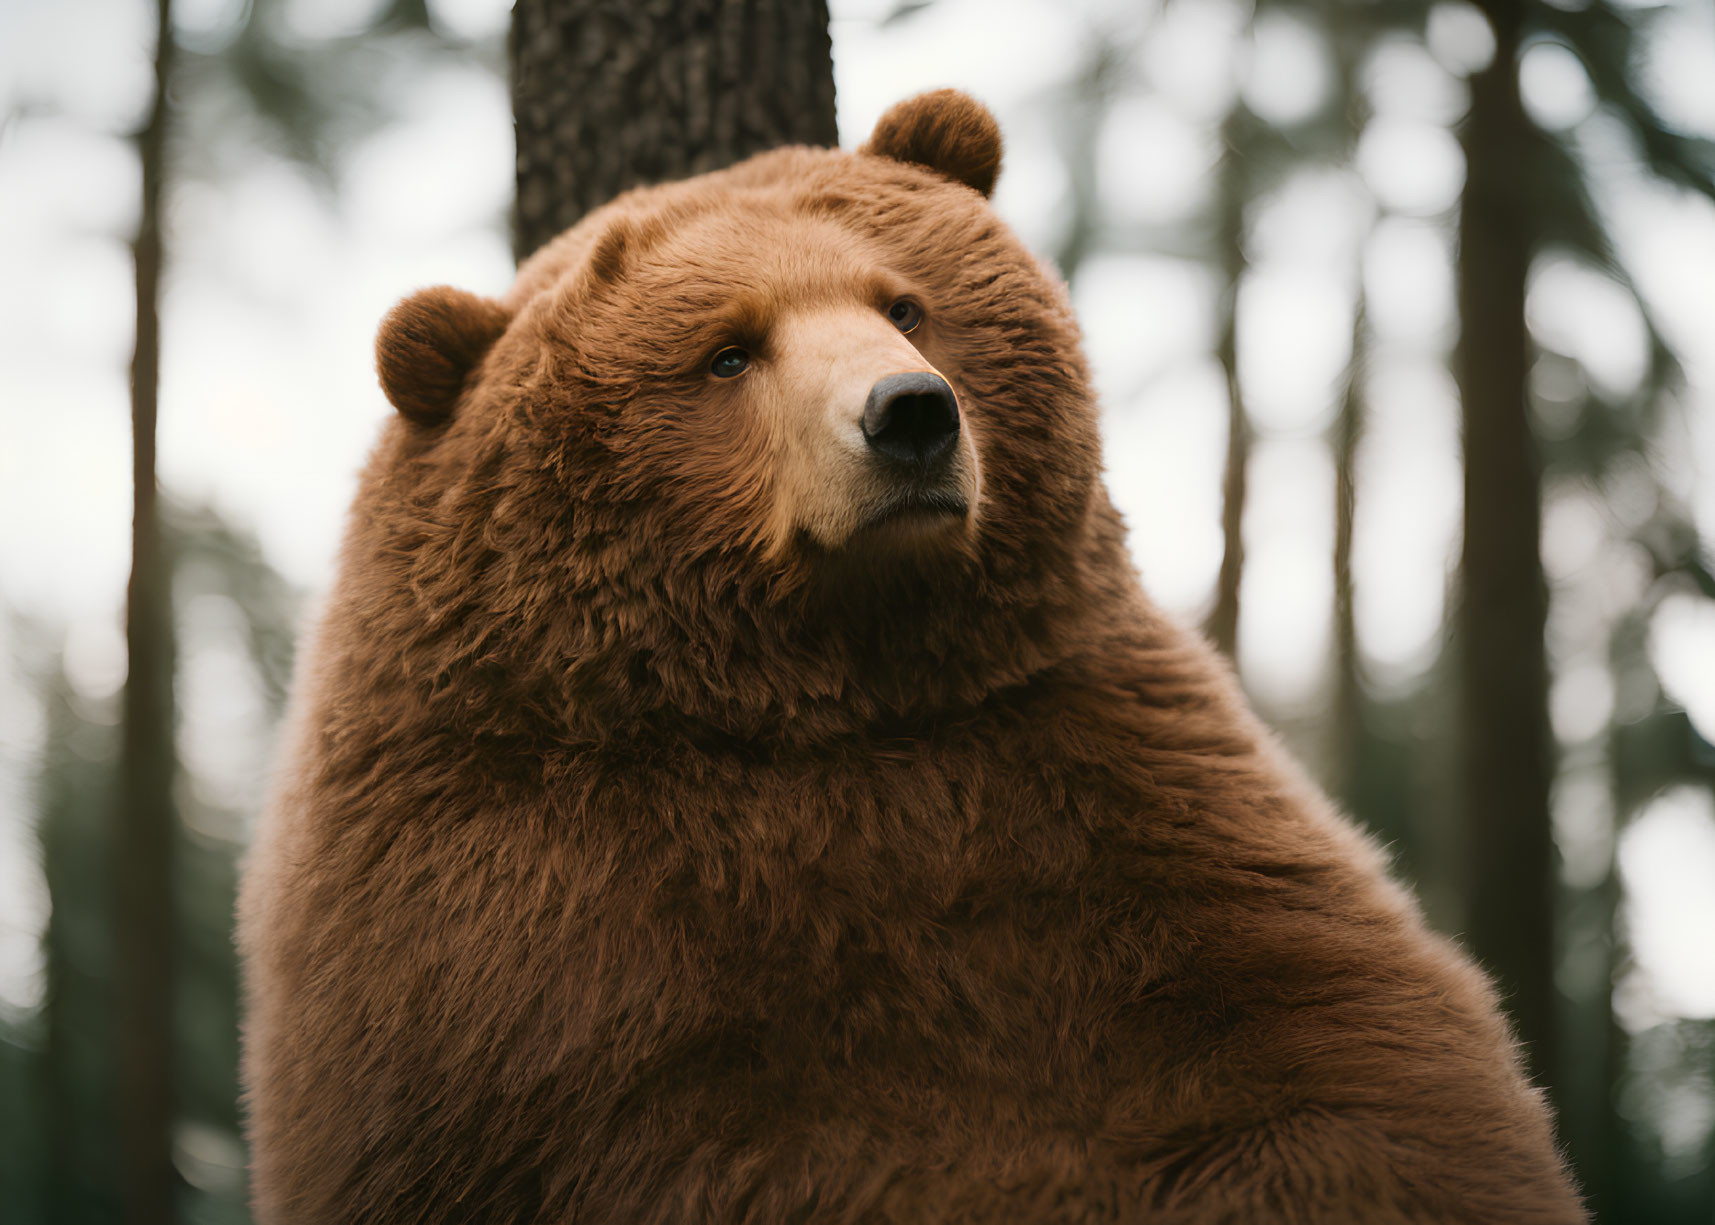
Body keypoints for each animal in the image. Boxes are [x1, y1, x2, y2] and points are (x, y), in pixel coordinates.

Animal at [234, 90, 1584, 1214]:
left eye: (902, 302)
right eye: (728, 349)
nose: (910, 414)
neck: (832, 683)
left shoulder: (1108, 787)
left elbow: (1352, 1064)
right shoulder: (522, 927)